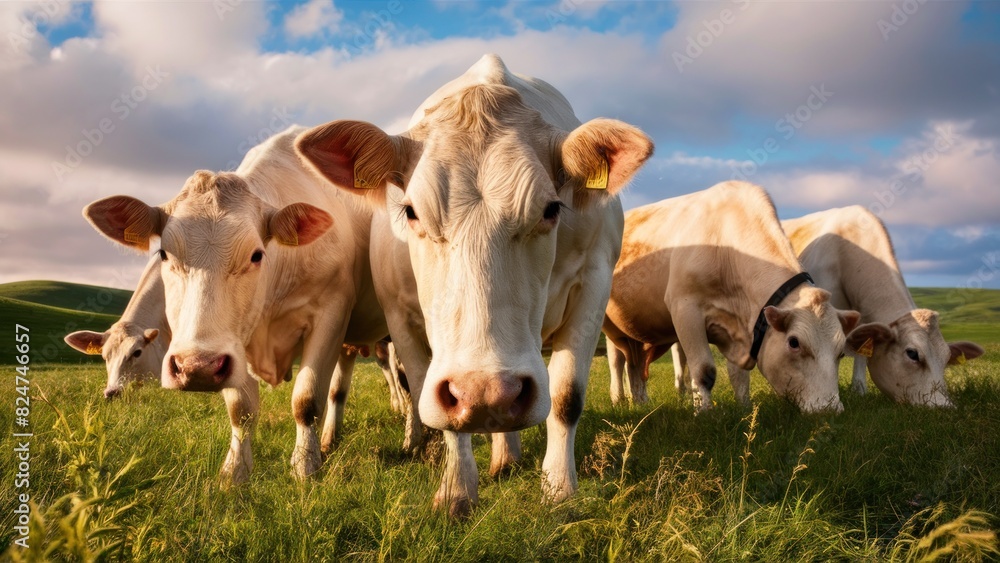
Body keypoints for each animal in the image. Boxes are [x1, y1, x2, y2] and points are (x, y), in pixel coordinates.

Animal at [83, 126, 386, 484]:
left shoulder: (331, 312)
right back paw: (330, 440)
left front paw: (305, 467)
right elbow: (241, 410)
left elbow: (307, 400)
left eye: (256, 254)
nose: (195, 368)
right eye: (163, 254)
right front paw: (235, 472)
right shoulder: (233, 341)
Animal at [296, 54, 656, 516]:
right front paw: (456, 491)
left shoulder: (594, 284)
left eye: (551, 209)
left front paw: (559, 490)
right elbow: (431, 401)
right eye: (410, 212)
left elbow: (565, 397)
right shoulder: (400, 318)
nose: (486, 392)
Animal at [600, 183, 860, 412]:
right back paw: (618, 400)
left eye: (841, 352)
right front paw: (705, 413)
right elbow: (704, 371)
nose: (829, 408)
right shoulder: (685, 309)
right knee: (617, 362)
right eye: (794, 343)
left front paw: (744, 408)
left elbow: (739, 376)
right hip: (609, 324)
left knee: (635, 366)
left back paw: (640, 403)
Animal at [780, 206, 984, 406]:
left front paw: (859, 391)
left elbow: (861, 354)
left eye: (946, 358)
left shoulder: (864, 320)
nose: (944, 406)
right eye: (912, 354)